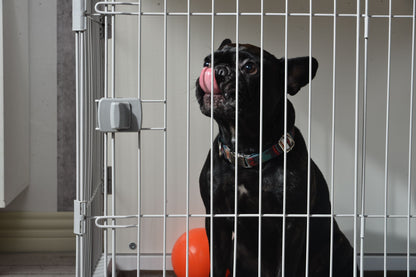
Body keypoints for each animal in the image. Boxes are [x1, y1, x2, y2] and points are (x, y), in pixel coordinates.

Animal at [197, 39, 352, 276]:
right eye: (207, 61)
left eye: (250, 67)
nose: (218, 70)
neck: (247, 151)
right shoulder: (217, 220)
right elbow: (216, 264)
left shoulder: (291, 226)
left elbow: (284, 267)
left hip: (340, 249)